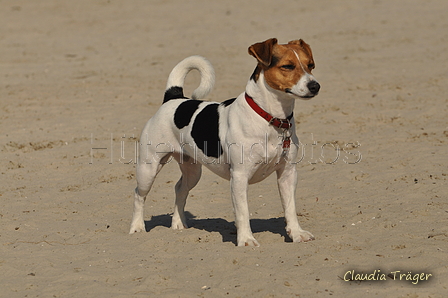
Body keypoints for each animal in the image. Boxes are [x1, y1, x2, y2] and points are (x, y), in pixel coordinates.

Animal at [128, 37, 320, 247]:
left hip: (192, 171)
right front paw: (246, 239)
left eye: (311, 65)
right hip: (148, 169)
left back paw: (178, 223)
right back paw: (137, 227)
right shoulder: (240, 176)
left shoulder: (288, 173)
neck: (270, 118)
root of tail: (174, 98)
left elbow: (290, 208)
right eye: (288, 66)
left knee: (179, 189)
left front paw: (297, 233)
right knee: (139, 194)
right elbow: (243, 212)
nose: (315, 86)